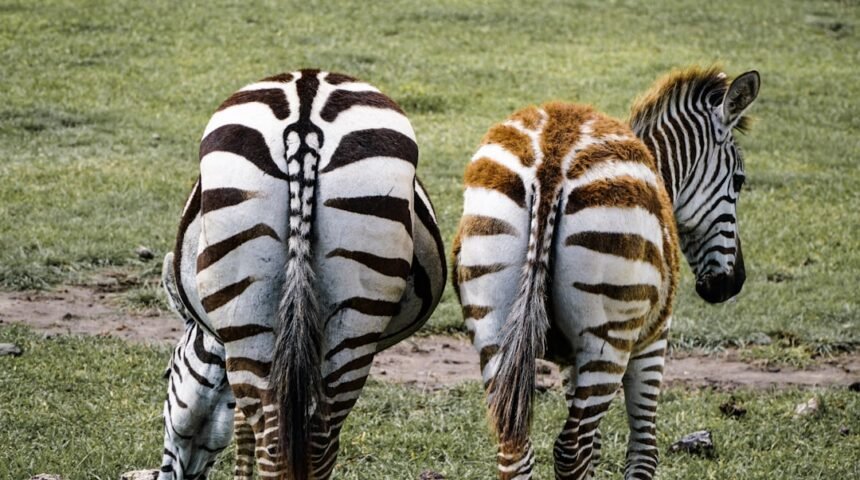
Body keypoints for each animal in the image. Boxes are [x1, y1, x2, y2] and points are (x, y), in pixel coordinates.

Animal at [157, 69, 446, 479]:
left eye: (167, 374)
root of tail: (304, 121)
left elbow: (242, 429)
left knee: (282, 442)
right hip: (347, 320)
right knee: (313, 440)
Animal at [451, 66, 759, 479]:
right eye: (739, 181)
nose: (732, 283)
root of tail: (550, 158)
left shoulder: (570, 361)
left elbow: (595, 450)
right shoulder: (653, 341)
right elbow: (643, 450)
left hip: (492, 322)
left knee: (517, 448)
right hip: (608, 338)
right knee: (569, 448)